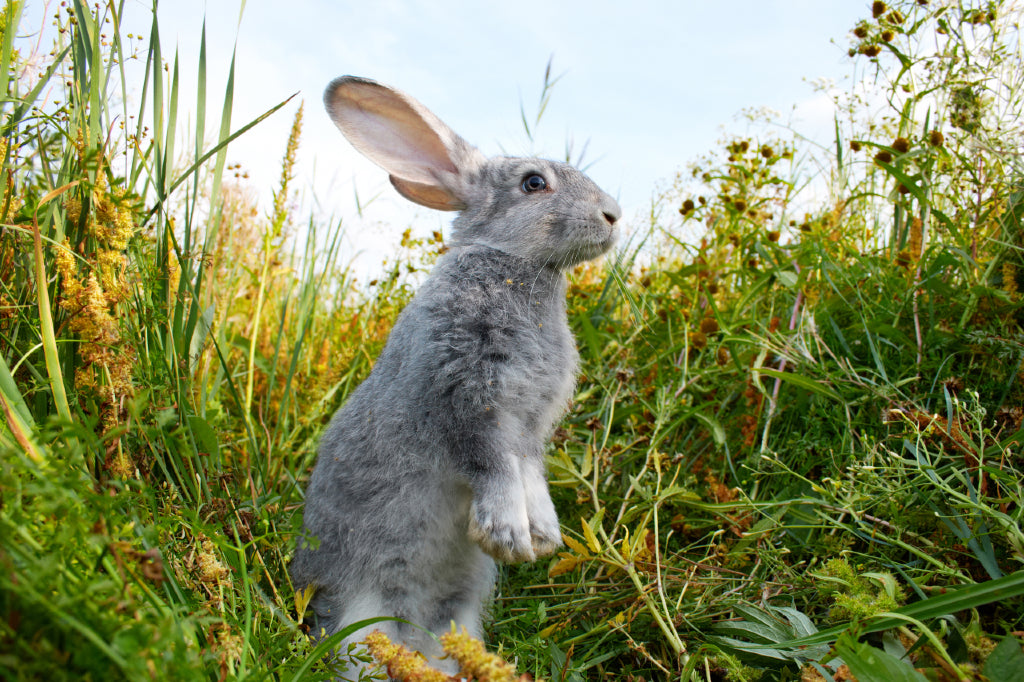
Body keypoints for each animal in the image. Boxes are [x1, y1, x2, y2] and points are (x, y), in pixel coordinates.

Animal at [292, 75, 618, 675]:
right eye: (533, 183)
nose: (613, 215)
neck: (516, 268)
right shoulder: (465, 397)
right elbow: (492, 465)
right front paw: (507, 535)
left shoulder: (529, 428)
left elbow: (529, 474)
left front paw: (542, 536)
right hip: (360, 620)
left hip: (459, 616)